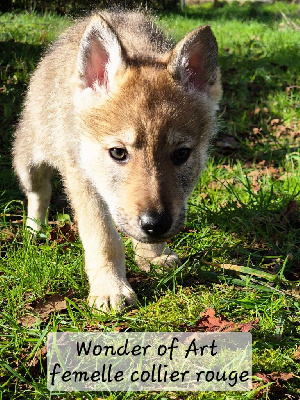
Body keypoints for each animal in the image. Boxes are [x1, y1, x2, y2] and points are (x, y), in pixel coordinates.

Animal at [12, 9, 221, 310]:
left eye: (181, 154)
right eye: (118, 153)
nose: (156, 224)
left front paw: (152, 256)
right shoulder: (82, 181)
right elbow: (104, 238)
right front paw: (110, 288)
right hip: (29, 162)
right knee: (39, 192)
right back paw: (35, 230)